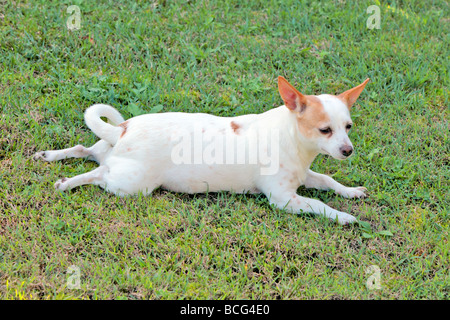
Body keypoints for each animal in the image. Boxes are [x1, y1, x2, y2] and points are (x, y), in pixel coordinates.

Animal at [35, 76, 370, 224]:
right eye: (325, 130)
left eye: (349, 127)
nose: (348, 150)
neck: (292, 139)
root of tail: (122, 130)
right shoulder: (284, 199)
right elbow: (319, 204)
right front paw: (343, 216)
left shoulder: (305, 177)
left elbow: (327, 181)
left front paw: (350, 191)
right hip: (131, 185)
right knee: (97, 174)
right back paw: (67, 183)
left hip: (107, 153)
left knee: (84, 150)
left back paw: (49, 156)